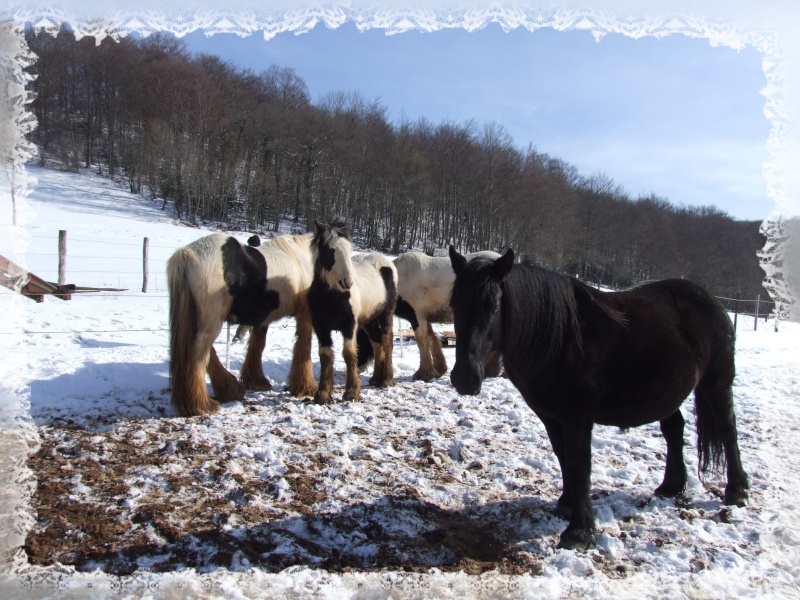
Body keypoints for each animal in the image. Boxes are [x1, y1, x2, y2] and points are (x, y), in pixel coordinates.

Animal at [306, 219, 396, 404]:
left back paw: (387, 380)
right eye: (331, 250)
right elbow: (325, 355)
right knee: (377, 342)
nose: (348, 282)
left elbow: (349, 354)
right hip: (369, 321)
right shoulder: (320, 327)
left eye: (348, 249)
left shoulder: (349, 325)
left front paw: (352, 393)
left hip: (386, 316)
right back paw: (376, 378)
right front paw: (323, 394)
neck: (331, 297)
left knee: (387, 342)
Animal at [396, 248, 504, 380]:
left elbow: (422, 341)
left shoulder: (417, 315)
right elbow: (432, 337)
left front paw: (424, 373)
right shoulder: (425, 316)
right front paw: (439, 369)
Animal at [446, 246, 748, 552]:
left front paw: (579, 531)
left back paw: (736, 491)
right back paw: (671, 486)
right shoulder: (551, 417)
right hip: (667, 392)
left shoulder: (577, 417)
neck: (561, 338)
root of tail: (710, 299)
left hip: (716, 383)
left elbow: (580, 464)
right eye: (455, 306)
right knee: (674, 430)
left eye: (494, 307)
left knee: (727, 429)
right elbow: (564, 456)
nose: (464, 378)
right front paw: (566, 504)